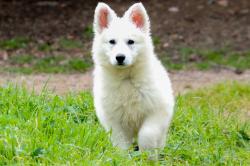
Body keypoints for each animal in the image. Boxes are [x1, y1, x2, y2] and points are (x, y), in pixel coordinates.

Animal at [91, 2, 174, 150]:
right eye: (112, 42)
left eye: (130, 41)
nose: (120, 57)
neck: (126, 78)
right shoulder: (114, 120)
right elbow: (121, 143)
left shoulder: (158, 111)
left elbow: (147, 134)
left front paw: (147, 154)